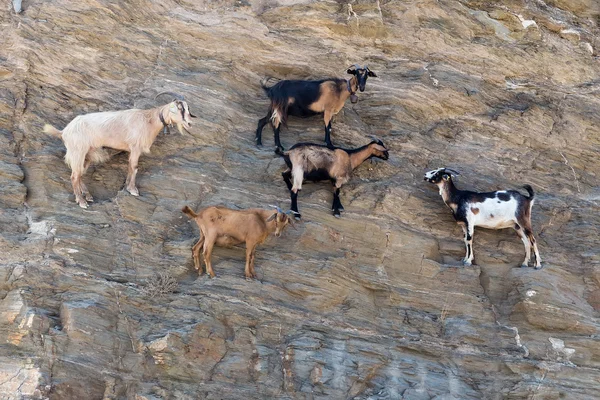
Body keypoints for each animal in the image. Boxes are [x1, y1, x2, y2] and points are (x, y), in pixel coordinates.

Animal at [43, 92, 196, 208]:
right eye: (180, 109)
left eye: (187, 109)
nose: (190, 123)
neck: (148, 121)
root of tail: (64, 131)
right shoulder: (135, 147)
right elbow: (134, 167)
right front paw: (133, 190)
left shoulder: (132, 149)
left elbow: (129, 167)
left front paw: (127, 186)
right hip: (78, 151)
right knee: (74, 176)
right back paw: (82, 202)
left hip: (87, 153)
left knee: (80, 173)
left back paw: (88, 196)